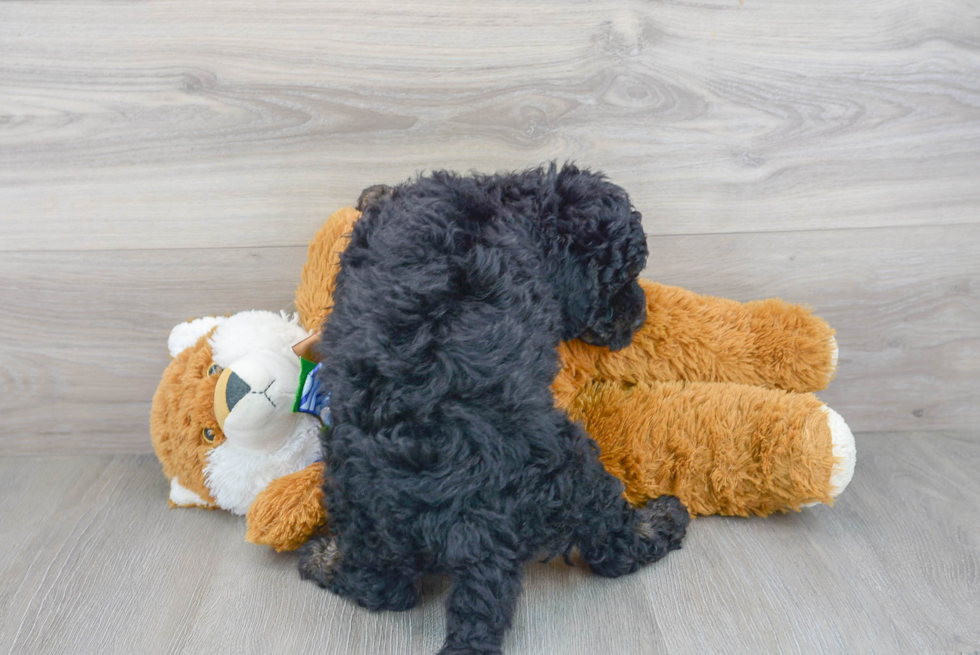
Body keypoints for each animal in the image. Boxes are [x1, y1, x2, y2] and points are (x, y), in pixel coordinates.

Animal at [298, 164, 688, 655]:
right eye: (618, 280)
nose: (640, 316)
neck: (517, 206)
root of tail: (476, 527)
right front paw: (374, 192)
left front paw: (373, 192)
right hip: (565, 469)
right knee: (613, 546)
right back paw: (661, 520)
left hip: (358, 498)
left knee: (383, 587)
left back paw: (322, 558)